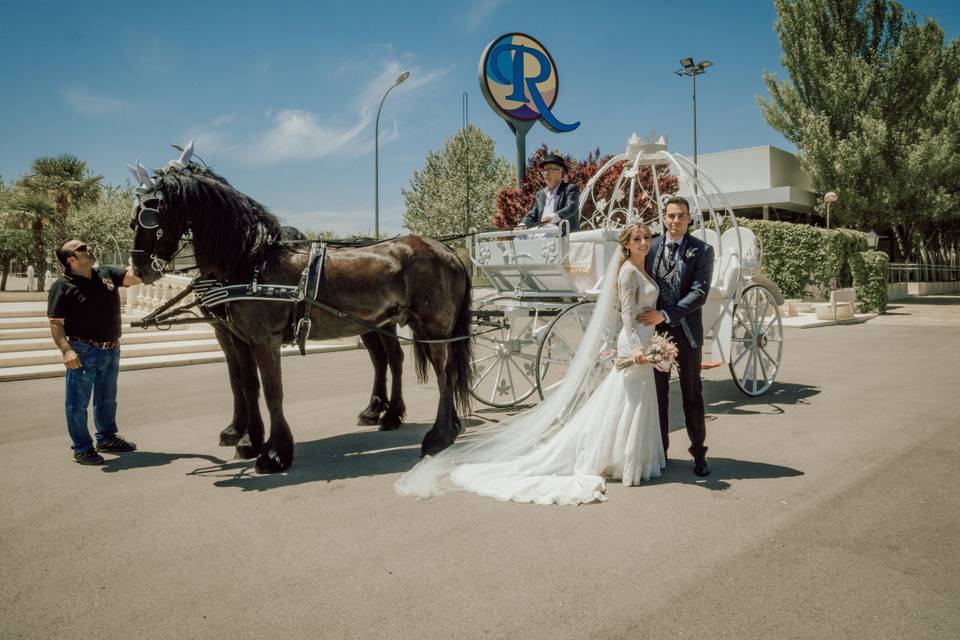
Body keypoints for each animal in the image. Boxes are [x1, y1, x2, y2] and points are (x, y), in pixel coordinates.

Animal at [127, 149, 472, 470]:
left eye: (150, 217)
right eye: (135, 218)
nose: (139, 269)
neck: (250, 260)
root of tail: (448, 250)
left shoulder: (263, 339)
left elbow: (272, 391)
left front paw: (275, 453)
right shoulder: (239, 337)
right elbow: (247, 385)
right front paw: (249, 440)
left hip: (432, 328)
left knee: (442, 373)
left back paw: (436, 434)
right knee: (397, 362)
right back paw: (408, 418)